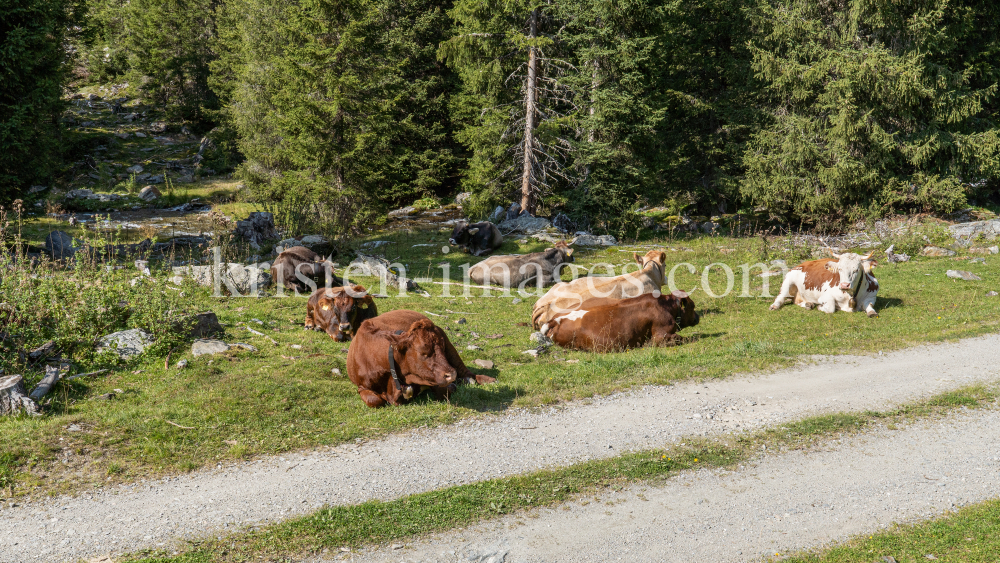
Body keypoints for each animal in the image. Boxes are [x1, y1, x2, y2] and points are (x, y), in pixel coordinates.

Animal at [346, 308, 498, 410]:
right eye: (423, 352)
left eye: (441, 348)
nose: (451, 374)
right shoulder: (362, 387)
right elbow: (374, 400)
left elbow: (445, 390)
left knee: (467, 372)